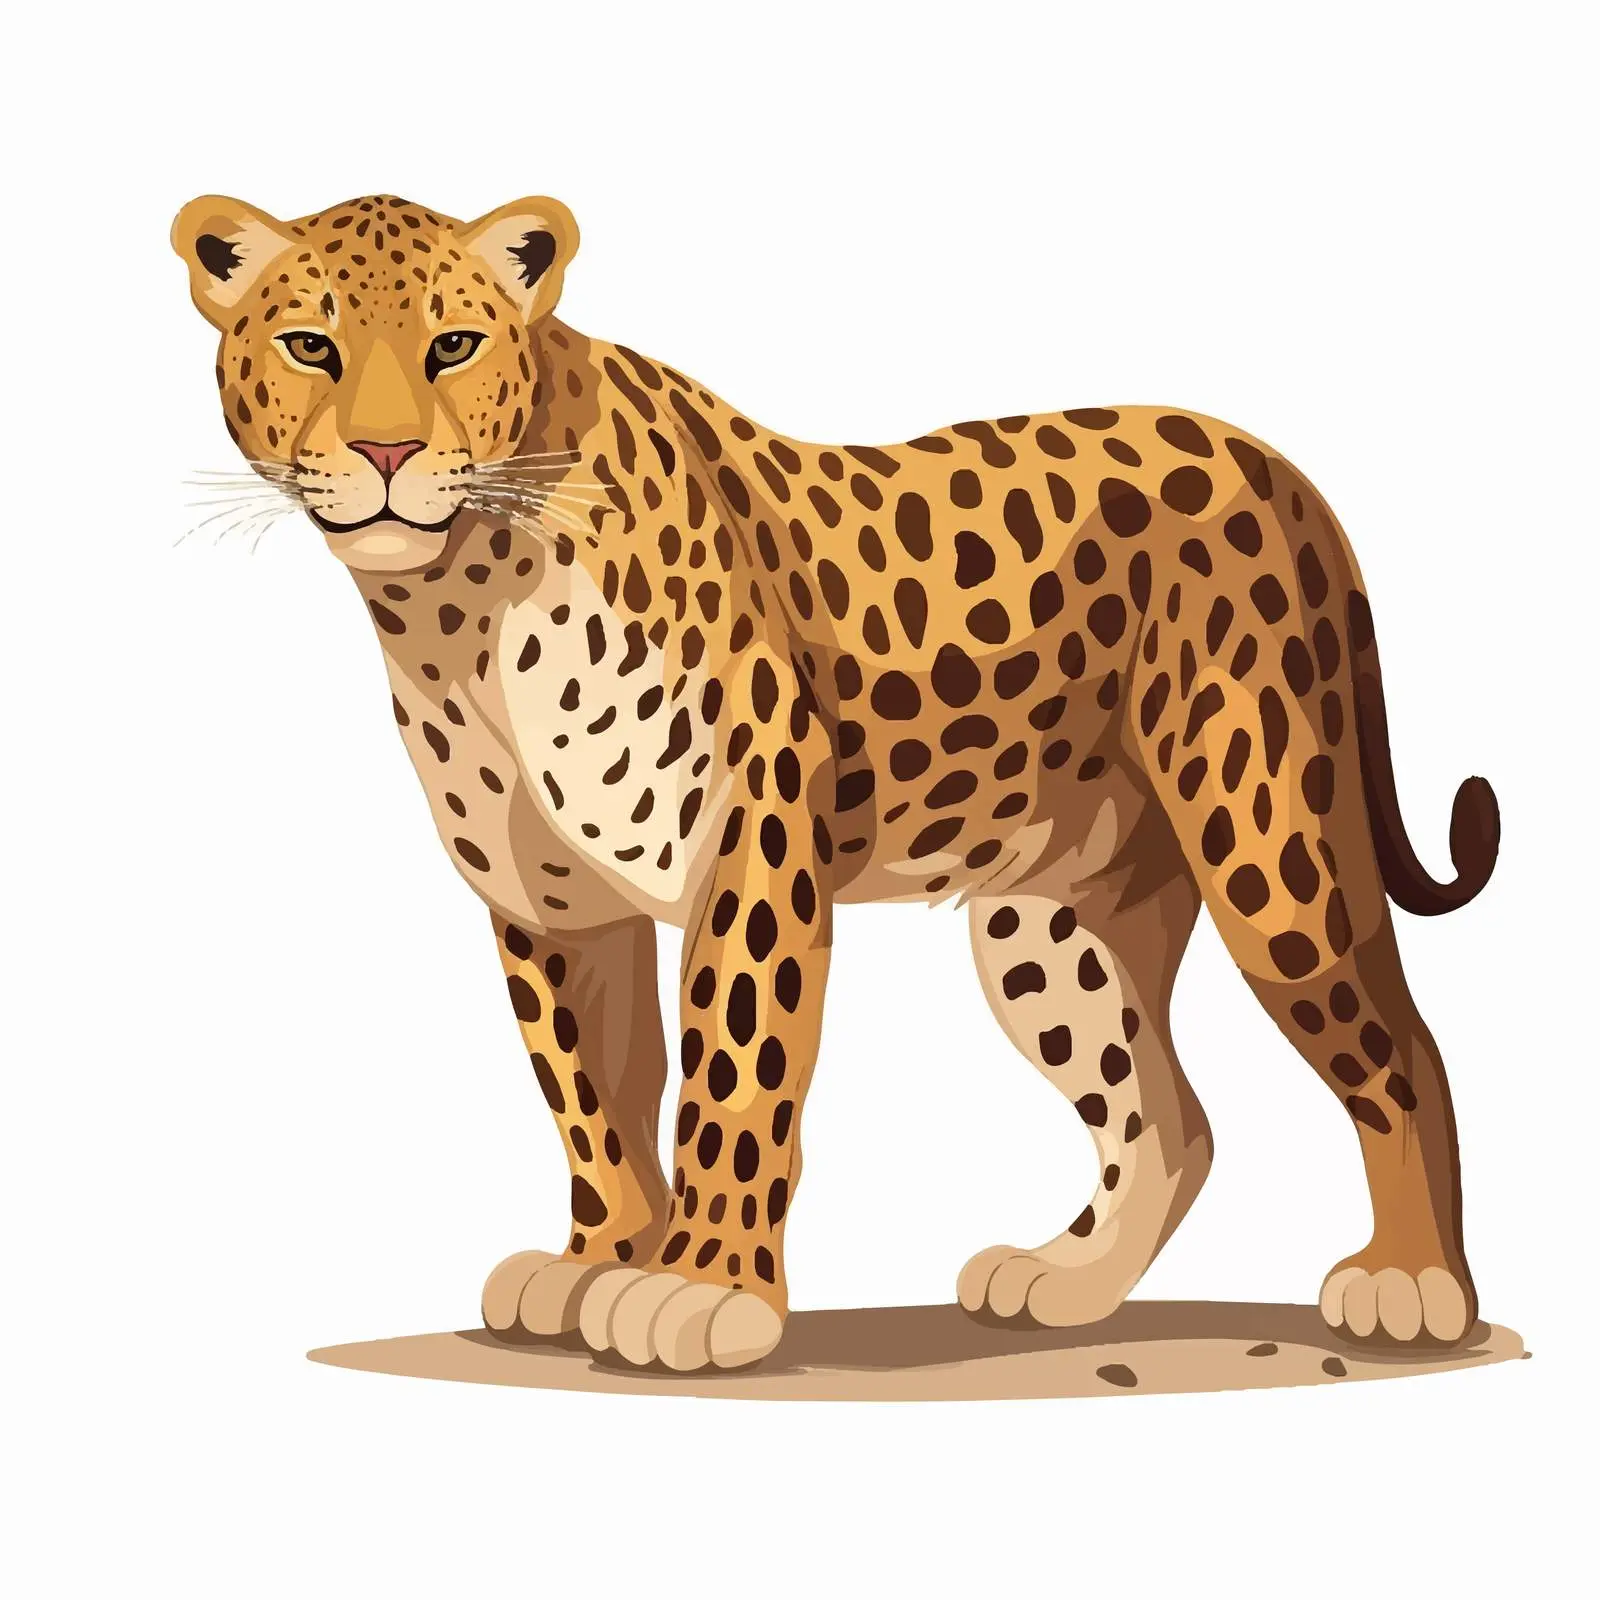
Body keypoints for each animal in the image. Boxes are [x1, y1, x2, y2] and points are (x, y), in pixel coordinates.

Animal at [173, 192, 1500, 1372]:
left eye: (453, 342)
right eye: (309, 344)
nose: (386, 451)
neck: (460, 607)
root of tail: (1275, 467)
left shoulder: (750, 844)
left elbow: (728, 1072)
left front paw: (704, 1290)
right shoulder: (551, 903)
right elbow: (590, 1093)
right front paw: (599, 1258)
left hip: (1266, 844)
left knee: (1400, 1048)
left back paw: (1411, 1282)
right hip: (1051, 921)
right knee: (1169, 1115)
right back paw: (1067, 1281)